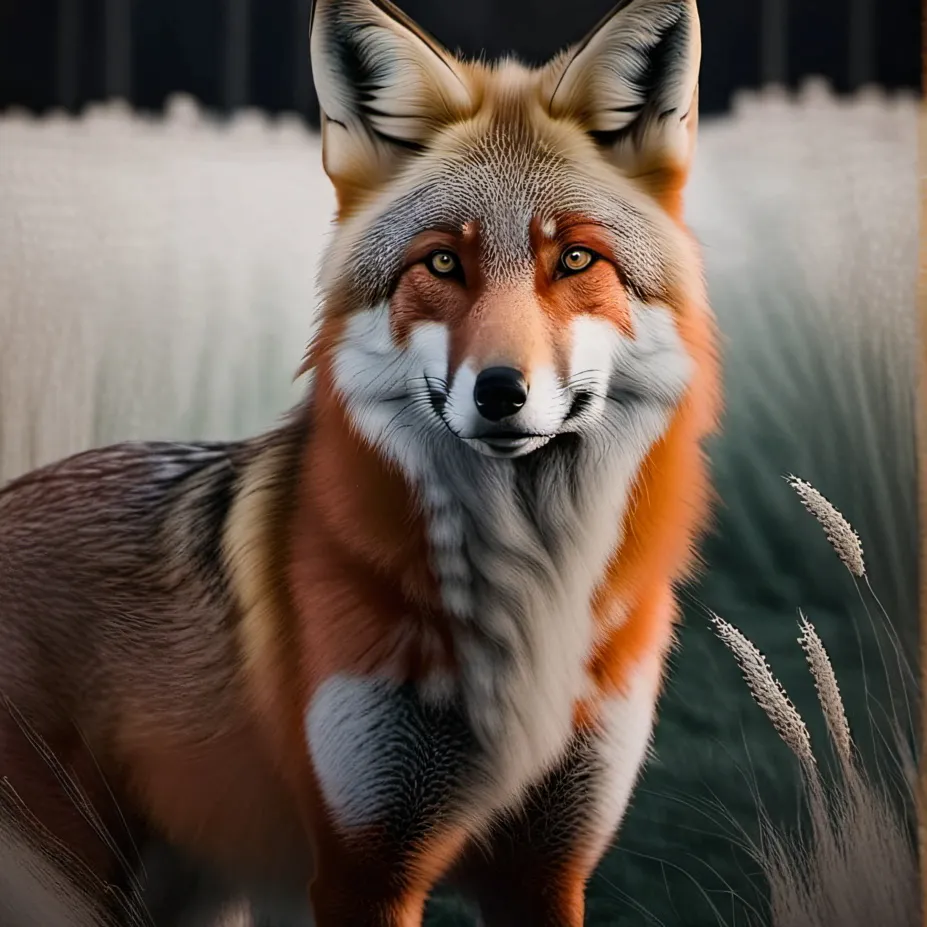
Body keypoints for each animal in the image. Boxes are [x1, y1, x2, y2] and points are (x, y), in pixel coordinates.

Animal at [0, 0, 721, 923]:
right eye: (442, 261)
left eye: (574, 259)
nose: (500, 391)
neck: (530, 599)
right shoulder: (364, 861)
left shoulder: (548, 866)